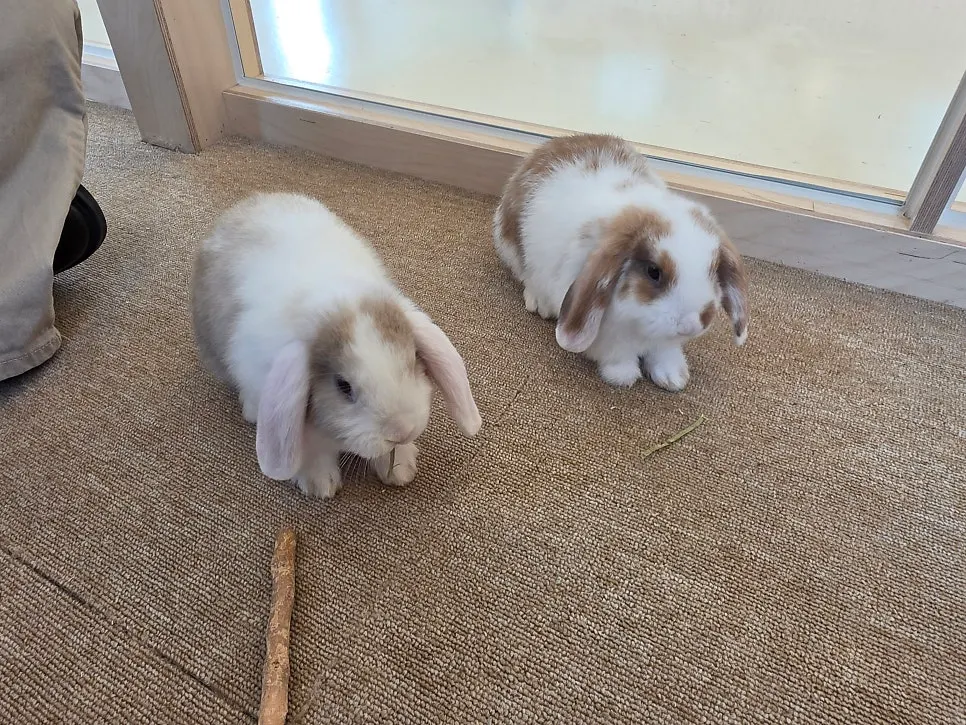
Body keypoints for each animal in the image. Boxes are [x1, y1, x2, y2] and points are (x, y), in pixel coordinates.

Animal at [190, 192, 482, 499]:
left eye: (413, 360)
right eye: (343, 386)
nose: (401, 431)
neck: (334, 306)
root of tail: (248, 202)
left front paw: (401, 468)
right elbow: (310, 444)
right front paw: (320, 485)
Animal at [493, 133, 748, 391]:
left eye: (713, 270)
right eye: (654, 271)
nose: (692, 324)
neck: (639, 326)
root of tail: (555, 143)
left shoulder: (664, 341)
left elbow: (664, 351)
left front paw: (673, 378)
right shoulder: (604, 333)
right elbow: (617, 354)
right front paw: (623, 376)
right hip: (512, 248)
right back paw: (539, 303)